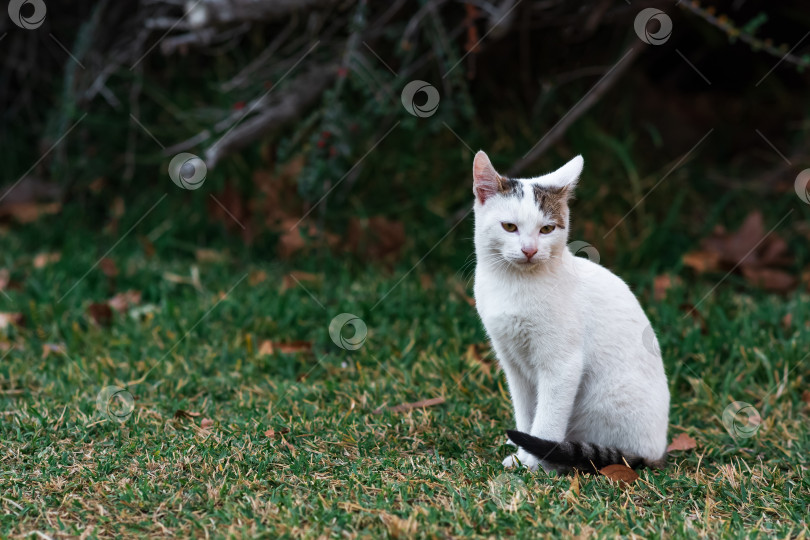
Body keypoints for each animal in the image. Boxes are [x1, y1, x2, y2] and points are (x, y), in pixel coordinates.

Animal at [468, 151, 668, 472]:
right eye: (509, 227)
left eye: (547, 229)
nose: (529, 250)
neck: (516, 285)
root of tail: (657, 451)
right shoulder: (513, 363)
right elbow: (526, 414)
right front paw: (522, 456)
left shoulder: (562, 366)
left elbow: (547, 421)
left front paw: (535, 465)